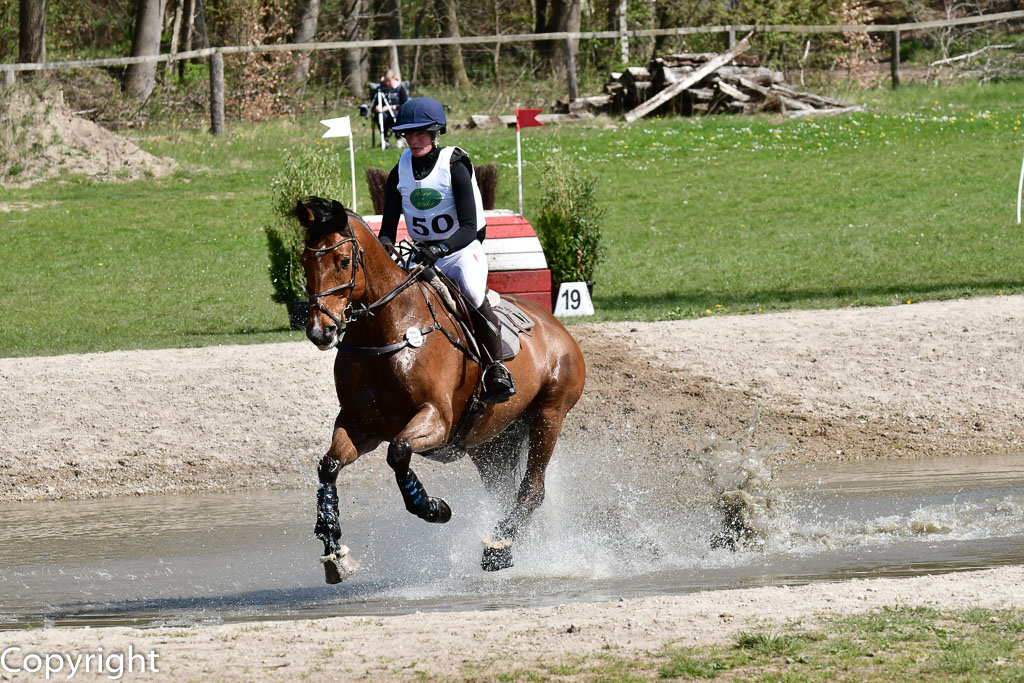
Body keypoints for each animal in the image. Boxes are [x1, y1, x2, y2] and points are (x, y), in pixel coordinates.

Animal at [290, 197, 587, 583]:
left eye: (342, 261)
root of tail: (556, 327)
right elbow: (328, 466)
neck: (385, 330)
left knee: (533, 488)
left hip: (549, 415)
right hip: (490, 443)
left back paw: (499, 548)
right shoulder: (361, 425)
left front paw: (432, 507)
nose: (319, 331)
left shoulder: (436, 420)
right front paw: (334, 552)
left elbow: (398, 453)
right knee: (504, 488)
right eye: (304, 261)